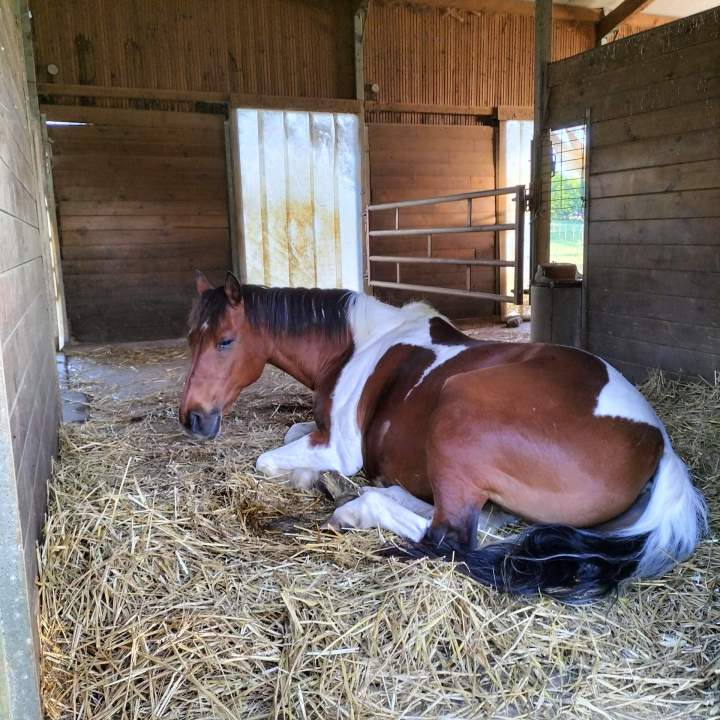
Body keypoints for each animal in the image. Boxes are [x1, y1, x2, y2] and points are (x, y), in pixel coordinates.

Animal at [179, 271, 707, 603]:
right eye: (191, 338)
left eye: (225, 340)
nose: (191, 418)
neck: (355, 346)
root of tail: (658, 444)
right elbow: (293, 430)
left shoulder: (339, 447)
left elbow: (268, 461)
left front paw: (317, 481)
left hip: (458, 414)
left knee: (451, 539)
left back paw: (354, 508)